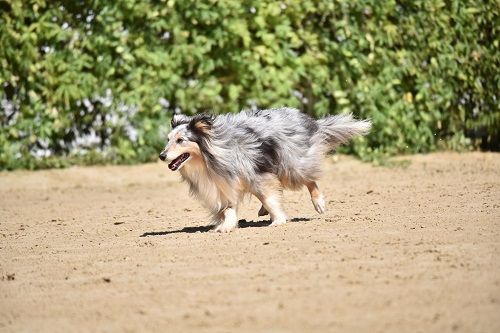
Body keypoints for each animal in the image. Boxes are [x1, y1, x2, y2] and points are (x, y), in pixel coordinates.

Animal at [158, 107, 370, 232]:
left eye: (180, 140)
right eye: (168, 139)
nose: (161, 155)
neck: (209, 158)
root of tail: (308, 120)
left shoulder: (256, 174)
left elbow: (269, 197)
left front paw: (278, 220)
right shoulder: (224, 185)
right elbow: (228, 208)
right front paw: (226, 226)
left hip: (290, 164)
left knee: (309, 180)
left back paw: (319, 204)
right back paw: (262, 211)